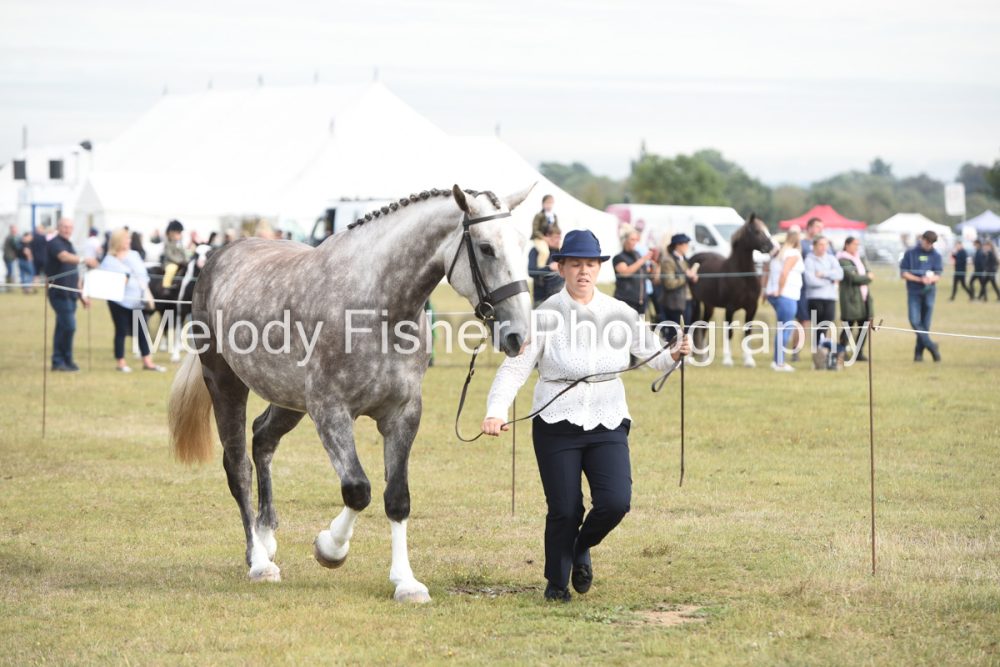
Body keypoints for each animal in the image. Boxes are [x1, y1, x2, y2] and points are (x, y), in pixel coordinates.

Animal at [168, 185, 533, 603]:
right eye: (486, 248)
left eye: (523, 244)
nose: (518, 336)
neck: (378, 308)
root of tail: (220, 257)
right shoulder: (330, 412)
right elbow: (358, 490)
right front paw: (330, 548)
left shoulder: (403, 415)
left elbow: (397, 498)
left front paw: (406, 582)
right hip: (226, 384)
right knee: (238, 468)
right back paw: (259, 561)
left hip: (288, 398)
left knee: (262, 439)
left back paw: (266, 535)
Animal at [689, 215, 774, 366]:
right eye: (757, 231)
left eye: (766, 230)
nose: (771, 247)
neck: (743, 276)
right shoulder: (730, 308)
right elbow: (729, 332)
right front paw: (728, 360)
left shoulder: (752, 307)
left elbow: (748, 332)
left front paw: (749, 360)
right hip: (696, 302)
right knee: (693, 324)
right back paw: (690, 358)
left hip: (709, 305)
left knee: (703, 325)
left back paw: (704, 358)